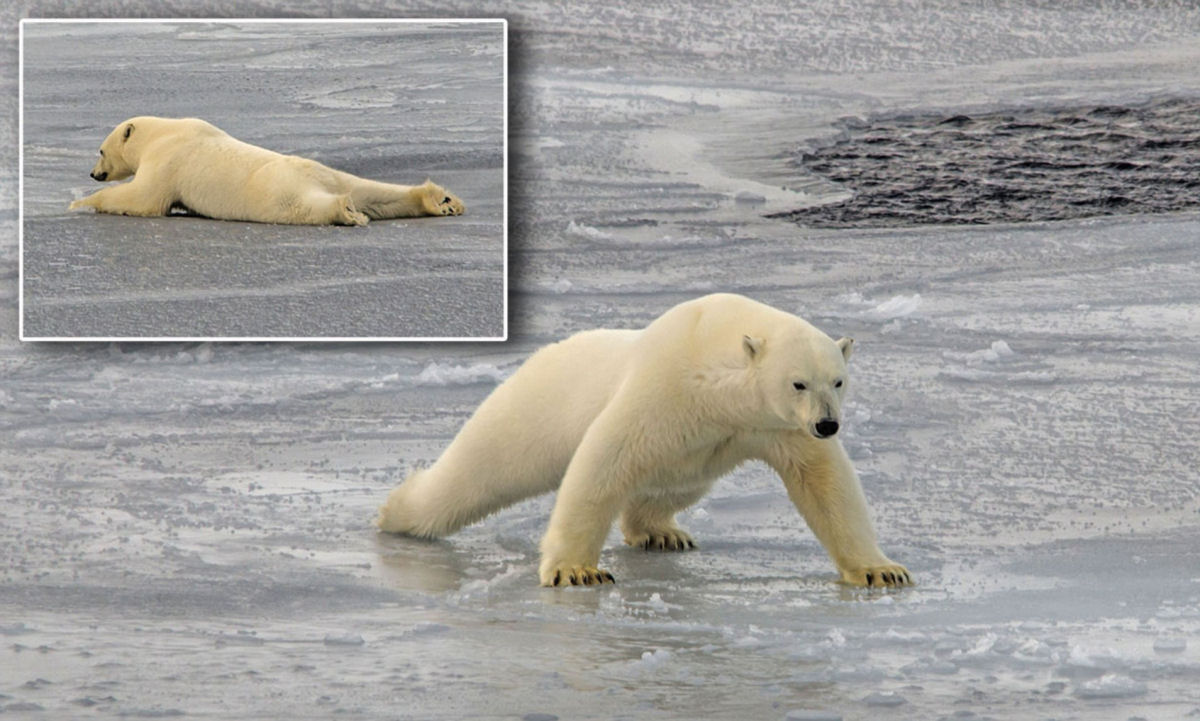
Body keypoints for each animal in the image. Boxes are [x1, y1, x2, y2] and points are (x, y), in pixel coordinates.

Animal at [68, 115, 465, 225]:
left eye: (100, 151)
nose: (92, 173)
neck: (162, 132)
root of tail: (317, 178)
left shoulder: (167, 159)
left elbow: (144, 198)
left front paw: (79, 202)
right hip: (331, 173)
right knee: (372, 191)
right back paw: (440, 200)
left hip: (278, 189)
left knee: (305, 206)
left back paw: (346, 211)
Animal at [379, 291, 912, 585]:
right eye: (798, 382)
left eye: (838, 381)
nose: (828, 424)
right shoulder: (665, 387)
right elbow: (603, 462)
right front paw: (577, 571)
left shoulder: (771, 426)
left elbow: (826, 484)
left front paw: (881, 570)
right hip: (527, 410)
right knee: (477, 473)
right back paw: (395, 511)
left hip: (691, 460)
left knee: (674, 484)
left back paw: (662, 531)